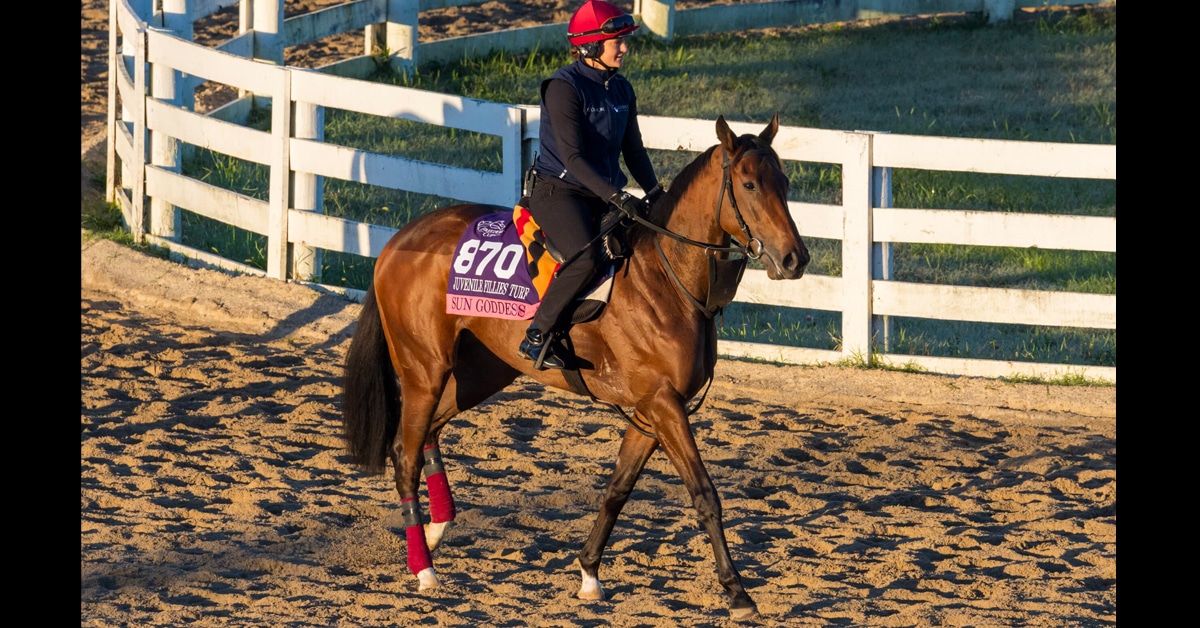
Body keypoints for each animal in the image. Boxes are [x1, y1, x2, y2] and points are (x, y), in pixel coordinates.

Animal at [341, 114, 809, 620]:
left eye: (784, 182)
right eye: (749, 184)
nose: (795, 258)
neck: (665, 278)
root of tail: (397, 241)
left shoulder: (651, 411)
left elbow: (618, 489)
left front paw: (588, 573)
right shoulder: (663, 404)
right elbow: (704, 495)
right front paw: (737, 592)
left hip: (477, 374)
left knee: (427, 432)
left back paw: (436, 528)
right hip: (424, 368)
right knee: (404, 453)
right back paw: (424, 567)